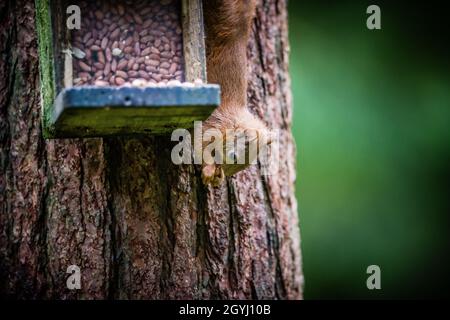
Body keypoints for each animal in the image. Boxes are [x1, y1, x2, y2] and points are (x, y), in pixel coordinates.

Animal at [201, 0, 272, 186]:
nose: (223, 169)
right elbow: (199, 143)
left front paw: (216, 176)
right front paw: (209, 170)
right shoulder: (214, 121)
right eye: (245, 139)